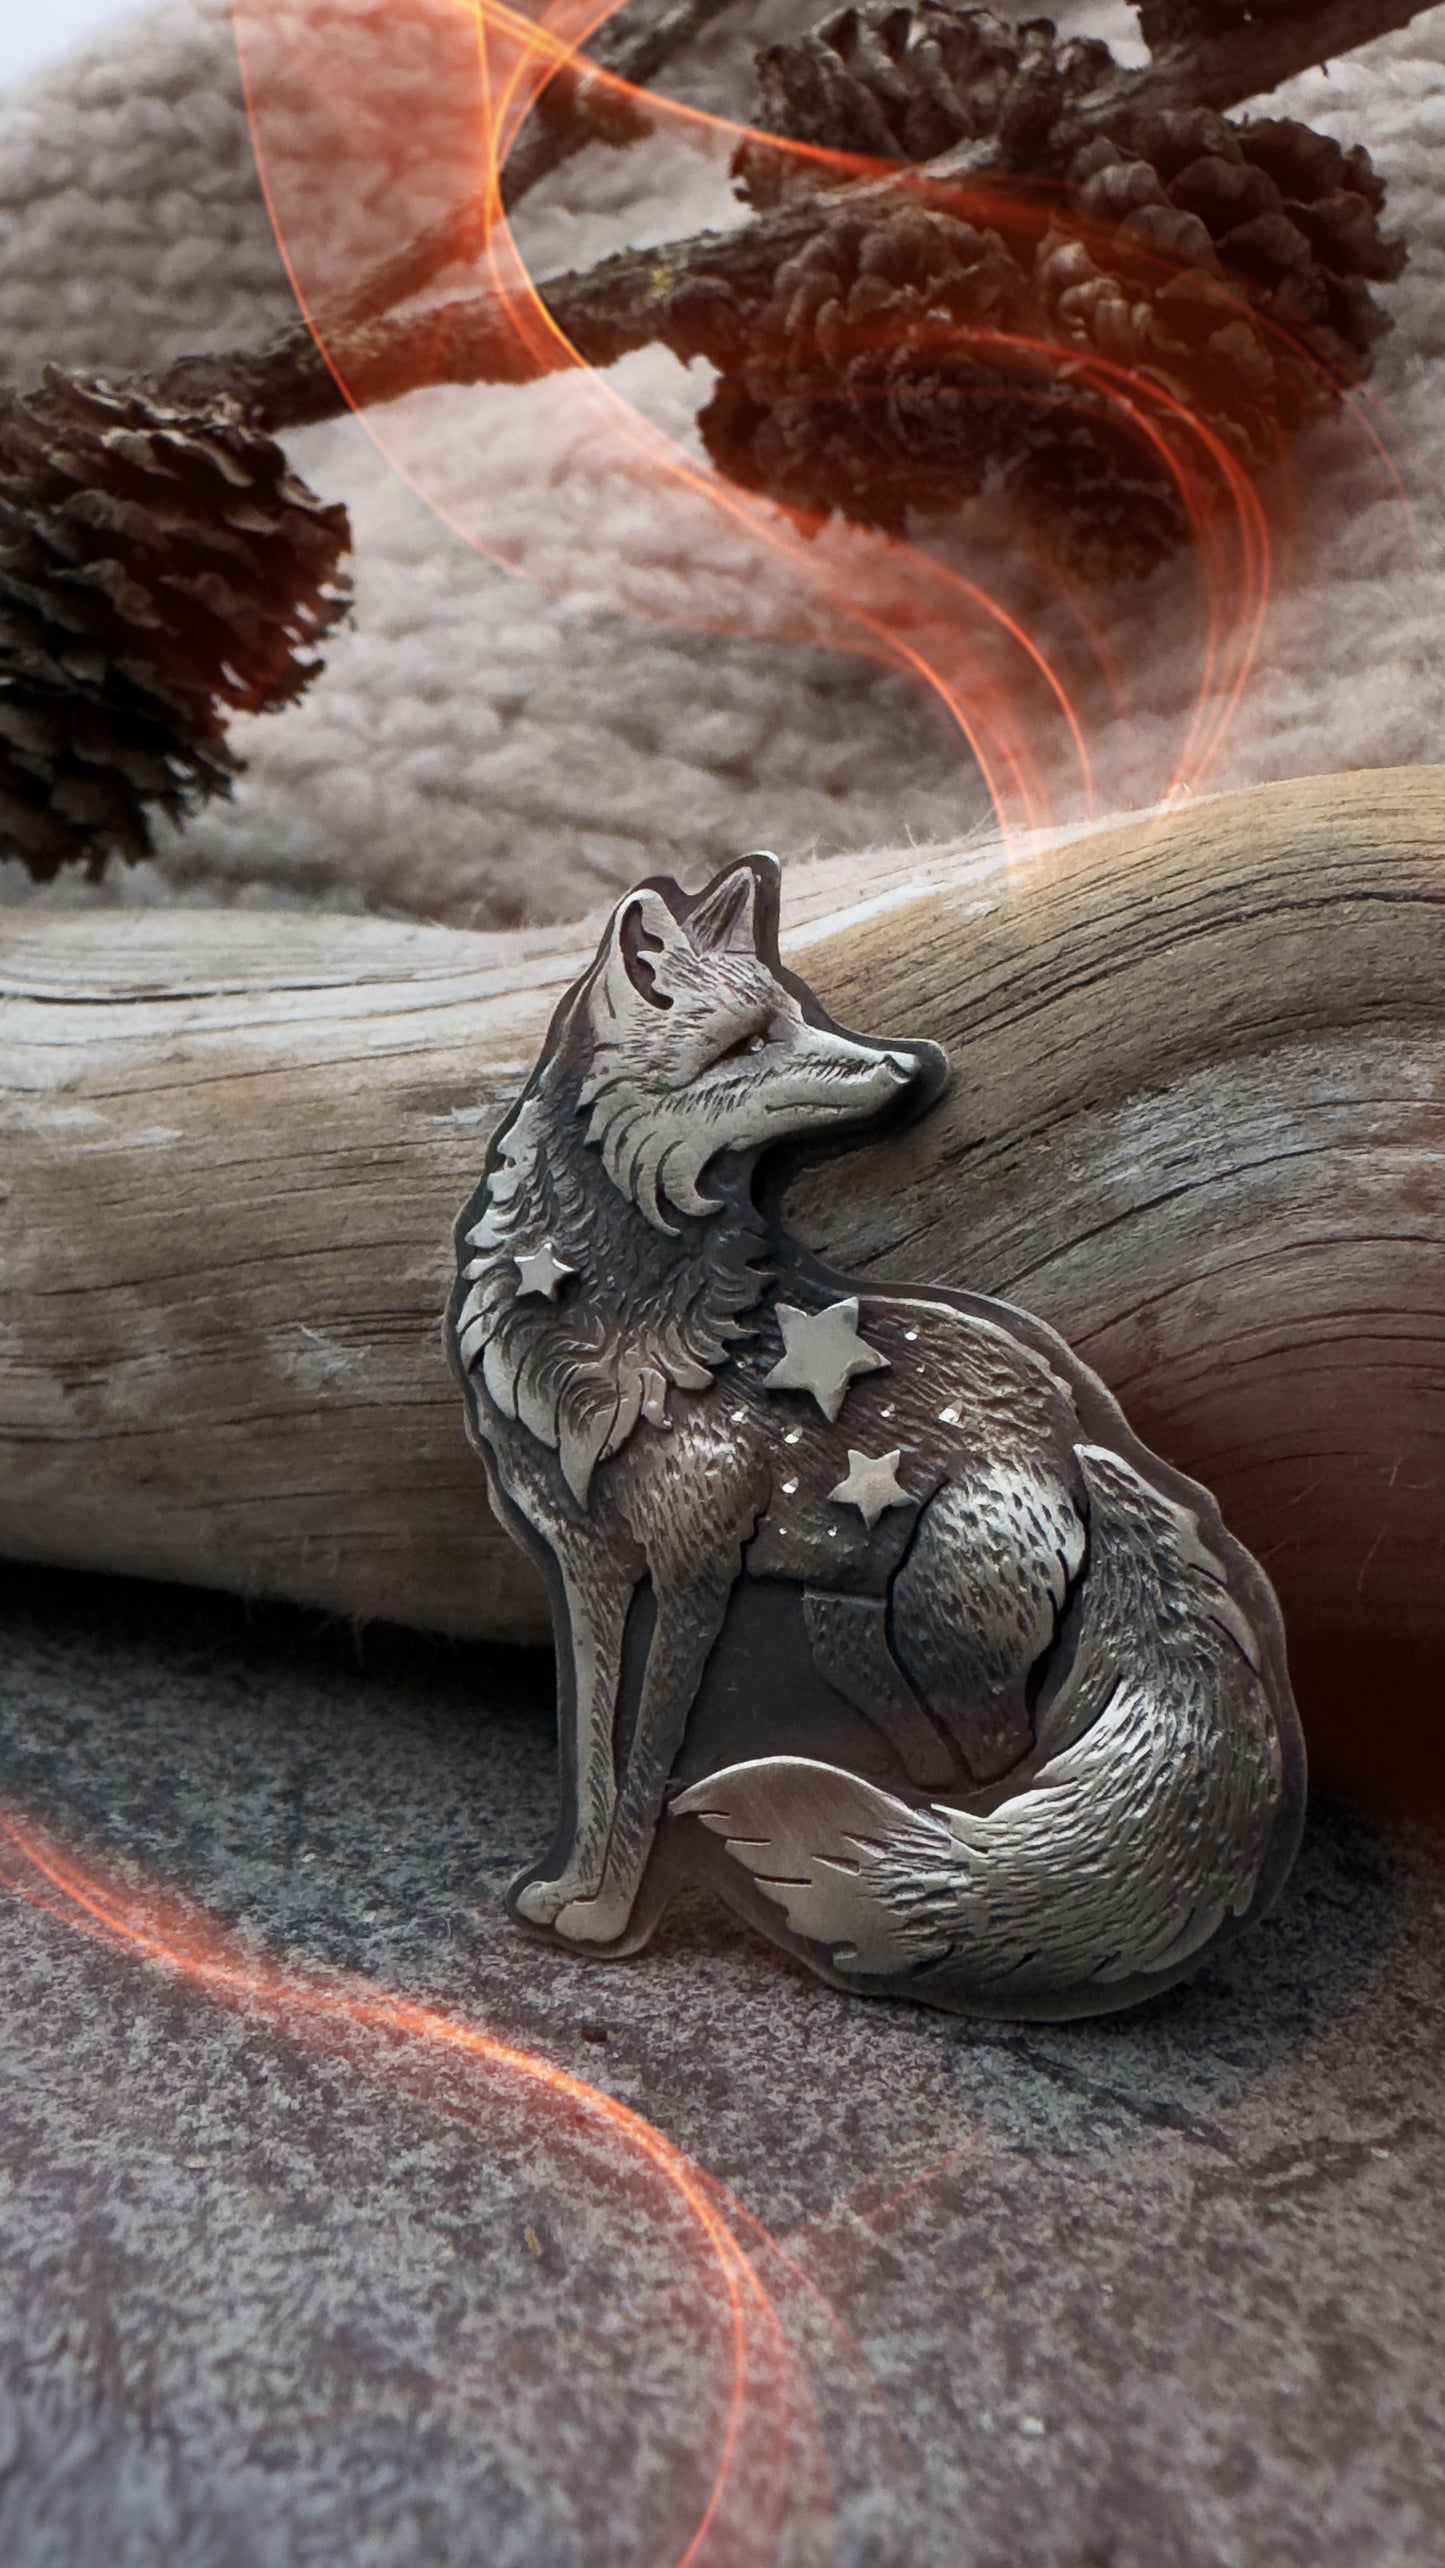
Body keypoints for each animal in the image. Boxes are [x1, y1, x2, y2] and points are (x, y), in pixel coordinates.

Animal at [447, 850, 1305, 2020]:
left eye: (797, 1018)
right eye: (751, 1040)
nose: (906, 1062)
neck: (615, 1325)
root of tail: (1079, 1433)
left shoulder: (694, 1569)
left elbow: (647, 1764)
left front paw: (609, 1916)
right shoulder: (585, 1565)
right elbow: (592, 1757)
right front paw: (569, 1896)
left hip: (948, 1640)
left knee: (996, 1771)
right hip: (853, 1634)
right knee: (934, 1770)